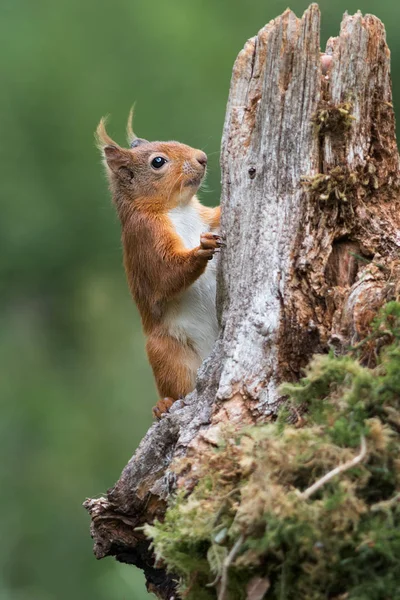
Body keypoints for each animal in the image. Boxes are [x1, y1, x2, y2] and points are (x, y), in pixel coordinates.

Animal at [97, 110, 222, 414]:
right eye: (158, 162)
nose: (202, 157)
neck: (178, 208)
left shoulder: (205, 217)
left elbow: (217, 215)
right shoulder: (145, 239)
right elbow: (165, 274)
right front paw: (201, 249)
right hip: (166, 352)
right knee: (177, 387)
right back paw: (164, 405)